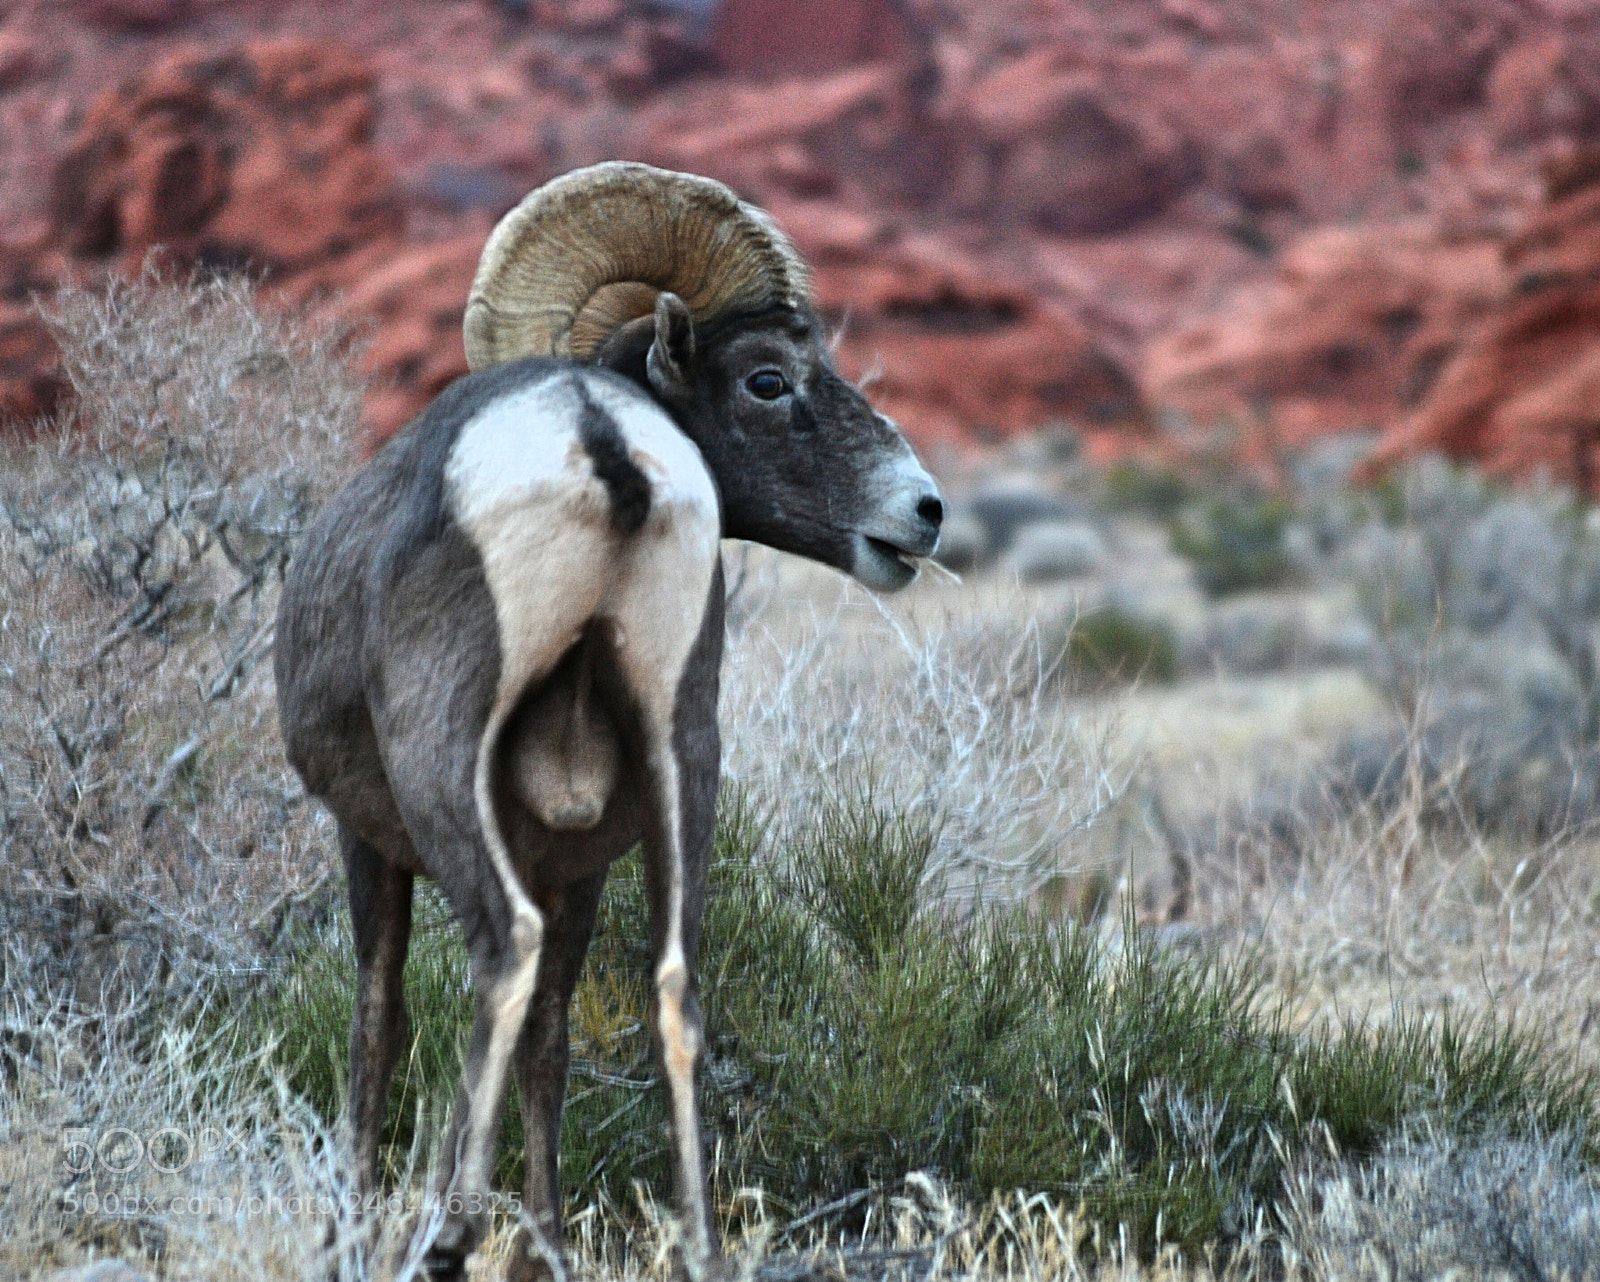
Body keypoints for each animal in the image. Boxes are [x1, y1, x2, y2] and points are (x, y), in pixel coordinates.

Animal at [275, 162, 943, 1281]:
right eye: (769, 380)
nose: (924, 513)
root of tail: (602, 443)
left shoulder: (370, 841)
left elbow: (383, 1021)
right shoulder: (581, 862)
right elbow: (552, 1042)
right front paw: (546, 1245)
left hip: (443, 764)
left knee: (502, 951)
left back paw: (447, 1237)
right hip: (685, 757)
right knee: (671, 986)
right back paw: (701, 1244)